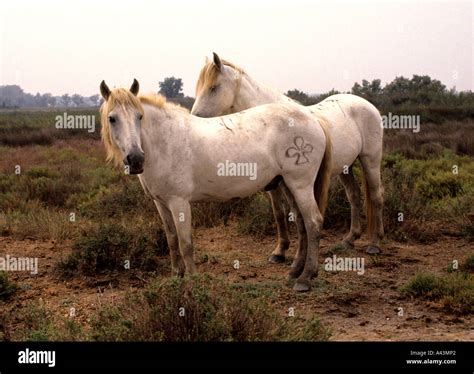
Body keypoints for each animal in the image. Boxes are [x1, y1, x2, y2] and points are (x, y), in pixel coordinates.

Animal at [98, 79, 332, 292]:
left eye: (139, 117)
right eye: (112, 119)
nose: (136, 159)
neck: (164, 142)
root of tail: (313, 119)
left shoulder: (179, 203)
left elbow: (186, 244)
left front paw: (193, 283)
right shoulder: (161, 204)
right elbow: (172, 241)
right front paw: (176, 277)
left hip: (300, 184)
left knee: (313, 222)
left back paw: (305, 278)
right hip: (287, 185)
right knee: (301, 223)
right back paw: (295, 271)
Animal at [191, 53, 384, 258]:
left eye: (213, 87)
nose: (195, 118)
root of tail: (367, 105)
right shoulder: (273, 183)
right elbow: (279, 212)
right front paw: (280, 250)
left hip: (370, 160)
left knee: (376, 195)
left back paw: (375, 243)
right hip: (345, 168)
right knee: (354, 195)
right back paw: (350, 239)